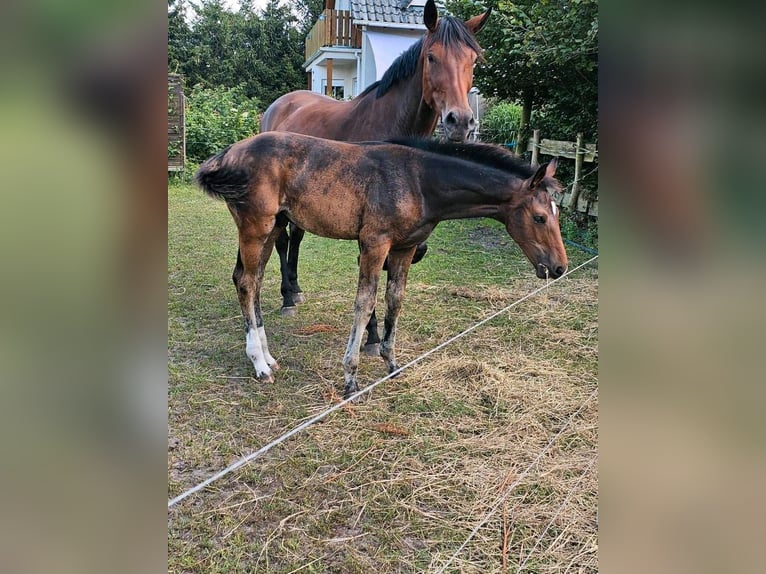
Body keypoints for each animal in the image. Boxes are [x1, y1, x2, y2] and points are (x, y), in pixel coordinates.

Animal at [198, 132, 568, 398]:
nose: (559, 268)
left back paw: (268, 356)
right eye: (539, 217)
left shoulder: (404, 248)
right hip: (255, 227)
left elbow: (394, 301)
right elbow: (364, 304)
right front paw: (351, 379)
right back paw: (259, 364)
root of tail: (228, 154)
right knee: (246, 283)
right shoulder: (374, 244)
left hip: (274, 226)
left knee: (255, 280)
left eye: (557, 213)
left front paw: (391, 363)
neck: (419, 181)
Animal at [252, 0, 492, 356]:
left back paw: (295, 289)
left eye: (473, 60)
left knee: (296, 237)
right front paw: (373, 335)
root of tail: (279, 105)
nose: (460, 121)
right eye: (431, 57)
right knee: (282, 241)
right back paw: (286, 298)